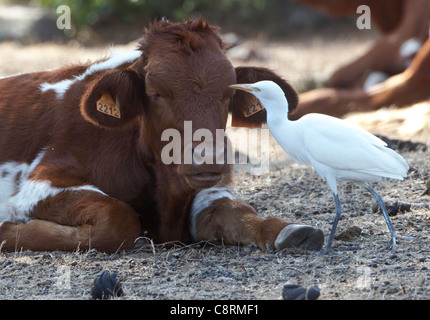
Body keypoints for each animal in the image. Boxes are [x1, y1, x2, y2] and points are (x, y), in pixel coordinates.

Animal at [0, 18, 322, 254]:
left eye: (229, 94)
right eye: (156, 94)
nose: (207, 156)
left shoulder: (210, 188)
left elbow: (235, 212)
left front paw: (287, 230)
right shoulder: (40, 179)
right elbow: (117, 217)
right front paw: (7, 228)